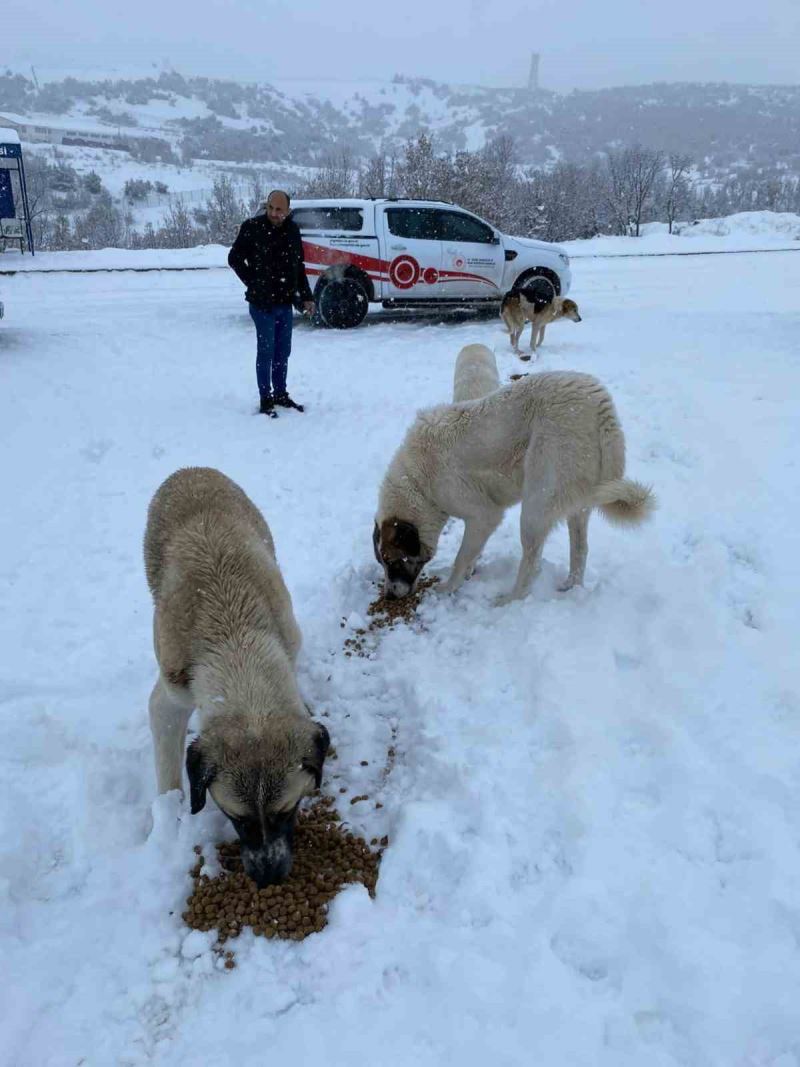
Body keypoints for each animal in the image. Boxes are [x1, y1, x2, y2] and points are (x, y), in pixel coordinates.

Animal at [144, 467, 328, 883]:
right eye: (236, 818)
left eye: (287, 811)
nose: (269, 877)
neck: (234, 641)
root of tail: (189, 469)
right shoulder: (169, 699)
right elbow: (167, 773)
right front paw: (171, 822)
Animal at [375, 373, 657, 610]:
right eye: (383, 563)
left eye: (392, 561)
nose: (389, 595)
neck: (416, 482)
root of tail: (599, 405)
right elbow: (471, 553)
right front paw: (468, 573)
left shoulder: (483, 515)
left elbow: (461, 557)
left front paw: (449, 587)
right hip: (579, 503)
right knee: (580, 549)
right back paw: (571, 586)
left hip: (535, 506)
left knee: (532, 561)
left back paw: (511, 599)